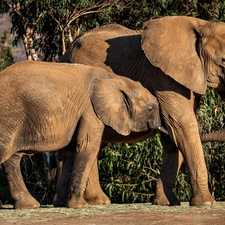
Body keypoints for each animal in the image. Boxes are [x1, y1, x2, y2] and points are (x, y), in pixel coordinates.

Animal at [0, 60, 163, 209]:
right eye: (150, 109)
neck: (113, 79)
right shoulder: (90, 111)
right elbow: (87, 147)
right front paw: (80, 206)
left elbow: (71, 151)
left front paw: (61, 205)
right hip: (8, 114)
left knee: (12, 158)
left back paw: (29, 205)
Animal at [60, 15, 225, 207]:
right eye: (223, 61)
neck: (203, 24)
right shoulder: (163, 76)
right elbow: (182, 124)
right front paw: (205, 203)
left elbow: (176, 131)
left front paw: (166, 203)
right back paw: (98, 201)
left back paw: (96, 201)